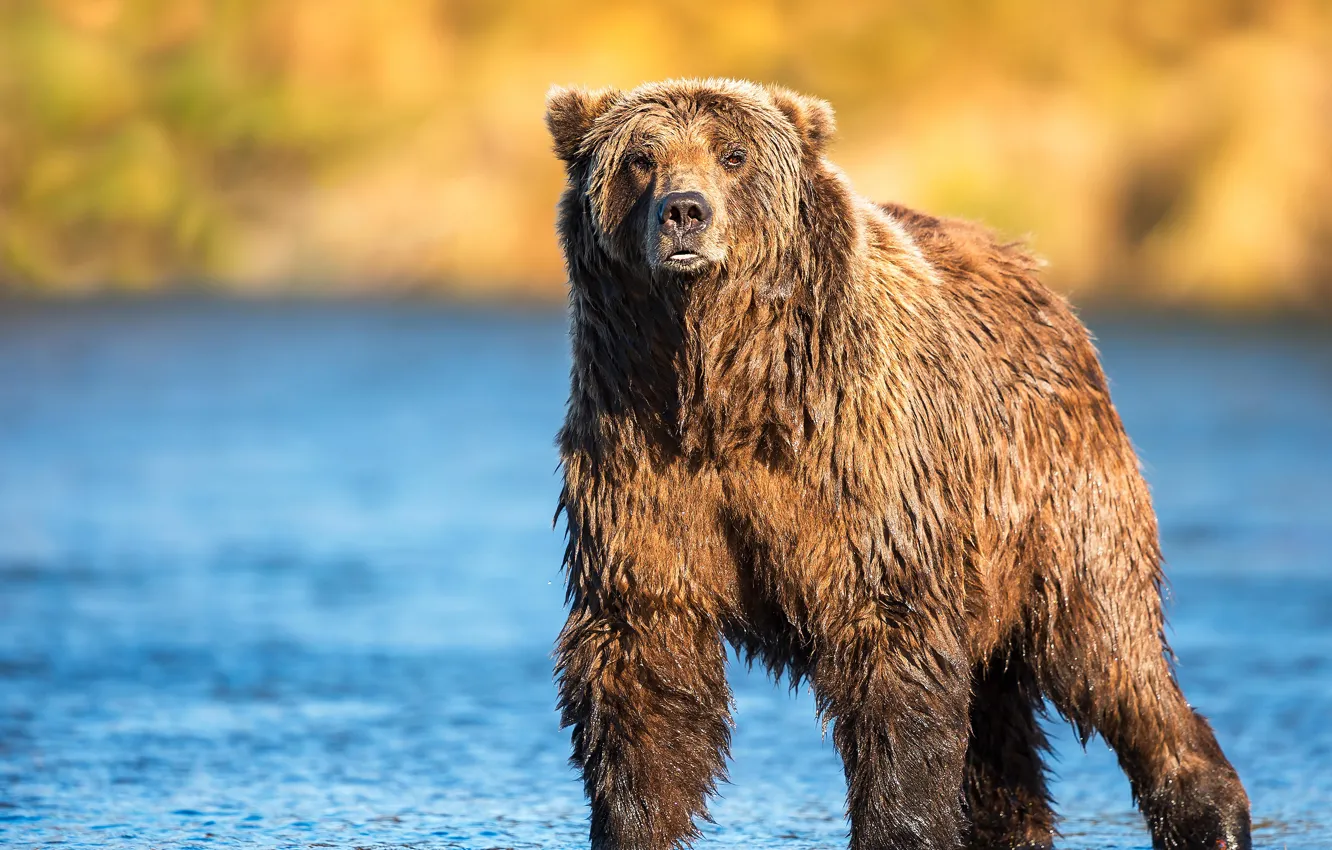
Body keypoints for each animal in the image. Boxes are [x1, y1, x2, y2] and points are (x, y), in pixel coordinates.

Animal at [545, 78, 1250, 850]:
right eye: (640, 158)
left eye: (733, 155)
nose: (683, 212)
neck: (724, 387)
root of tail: (1039, 278)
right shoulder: (642, 463)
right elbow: (644, 656)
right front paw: (631, 821)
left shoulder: (863, 470)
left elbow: (895, 660)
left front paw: (900, 825)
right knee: (1000, 728)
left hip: (1054, 496)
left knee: (1108, 649)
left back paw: (1210, 811)